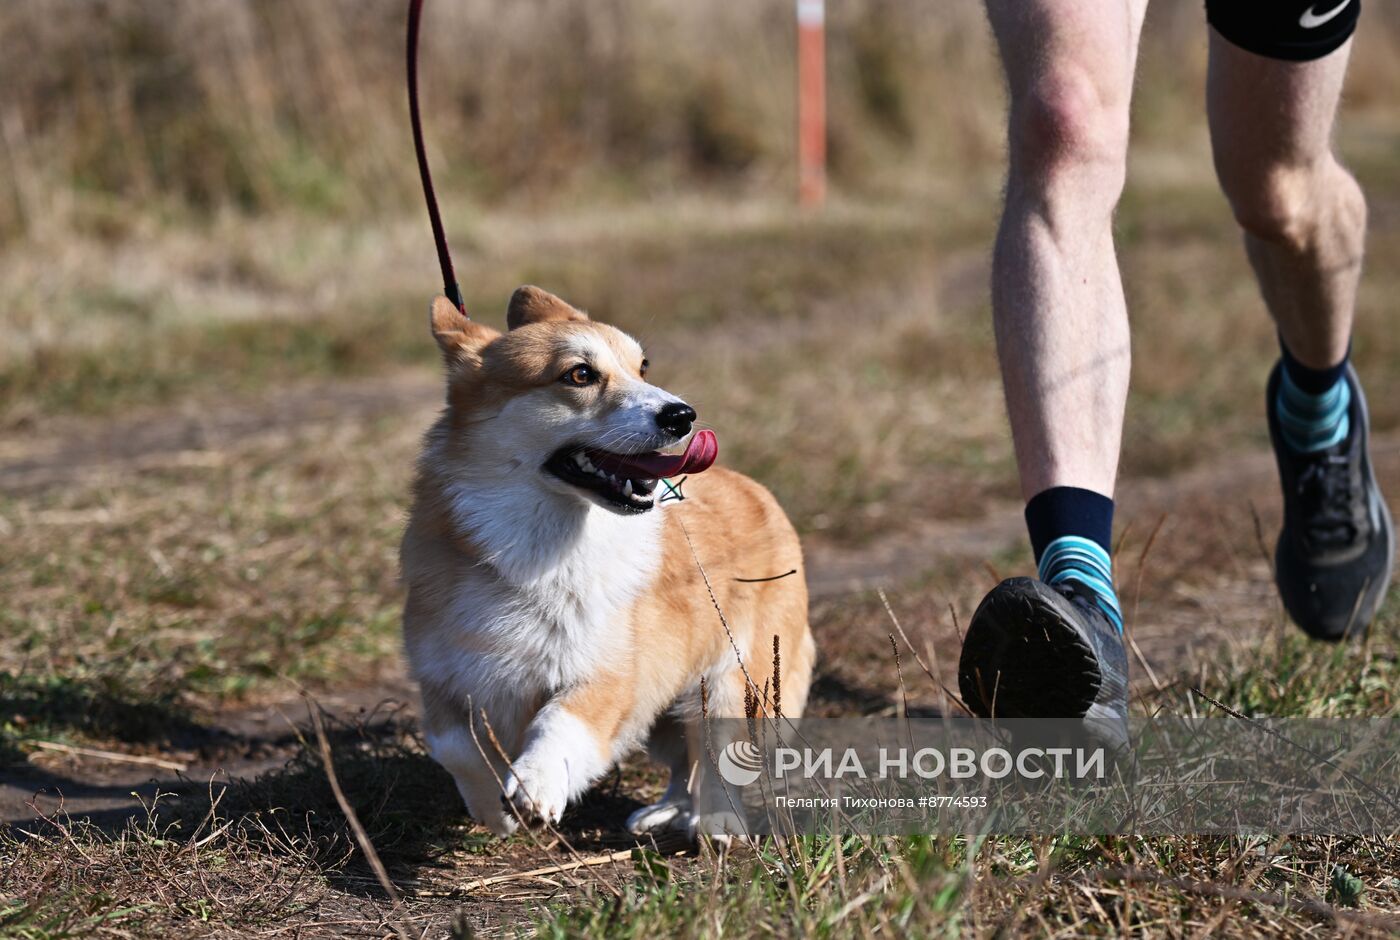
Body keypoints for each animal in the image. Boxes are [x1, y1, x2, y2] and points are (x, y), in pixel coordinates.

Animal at [400, 287, 817, 840]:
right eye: (579, 374)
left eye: (642, 367)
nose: (683, 415)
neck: (540, 544)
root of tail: (757, 490)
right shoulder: (444, 682)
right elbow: (456, 749)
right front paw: (494, 809)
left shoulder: (605, 677)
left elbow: (557, 723)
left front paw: (535, 784)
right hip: (667, 714)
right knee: (684, 764)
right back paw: (665, 811)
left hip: (732, 684)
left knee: (716, 759)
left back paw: (716, 823)